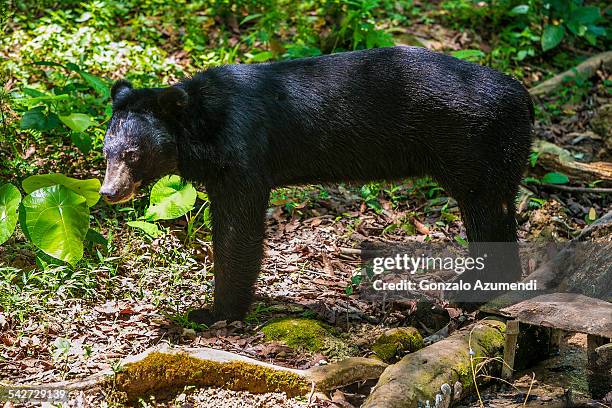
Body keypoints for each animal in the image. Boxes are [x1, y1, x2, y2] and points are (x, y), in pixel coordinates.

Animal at [99, 45, 532, 326]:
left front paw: (213, 312)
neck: (202, 128)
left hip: (475, 146)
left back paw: (471, 291)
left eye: (134, 154)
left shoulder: (243, 154)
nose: (108, 192)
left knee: (485, 211)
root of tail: (525, 99)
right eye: (107, 152)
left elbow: (239, 232)